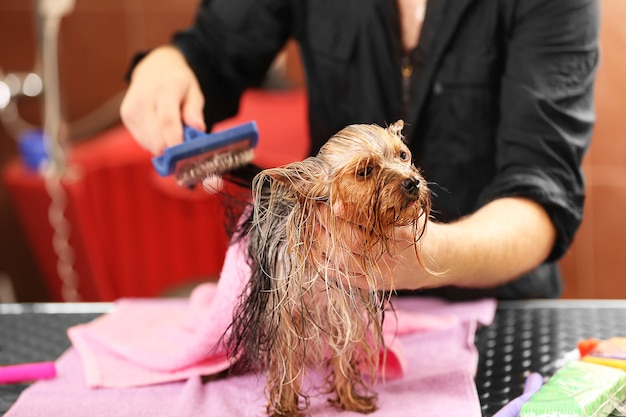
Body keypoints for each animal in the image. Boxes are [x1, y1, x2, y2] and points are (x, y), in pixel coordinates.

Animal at [228, 120, 428, 416]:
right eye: (365, 171)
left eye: (403, 155)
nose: (412, 182)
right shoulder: (287, 317)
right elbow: (287, 365)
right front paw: (286, 408)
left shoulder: (345, 310)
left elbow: (343, 354)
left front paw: (349, 399)